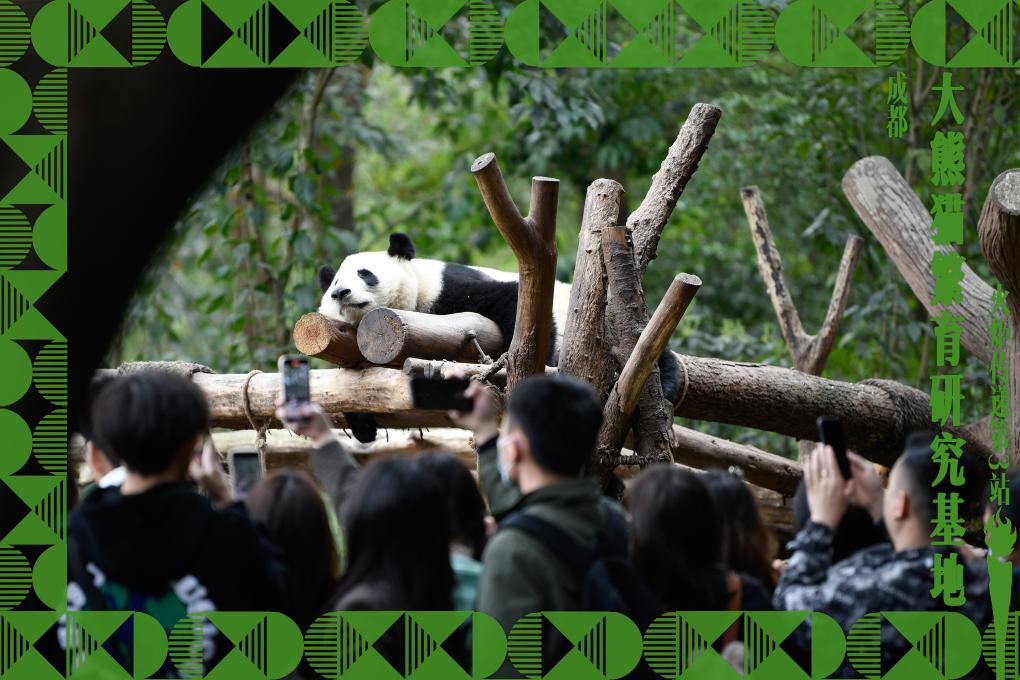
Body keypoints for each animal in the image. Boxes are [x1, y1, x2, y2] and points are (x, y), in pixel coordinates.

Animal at [317, 232, 679, 442]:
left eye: (365, 273)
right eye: (333, 281)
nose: (340, 292)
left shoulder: (447, 289)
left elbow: (513, 301)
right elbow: (360, 383)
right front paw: (362, 423)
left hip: (610, 324)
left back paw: (666, 384)